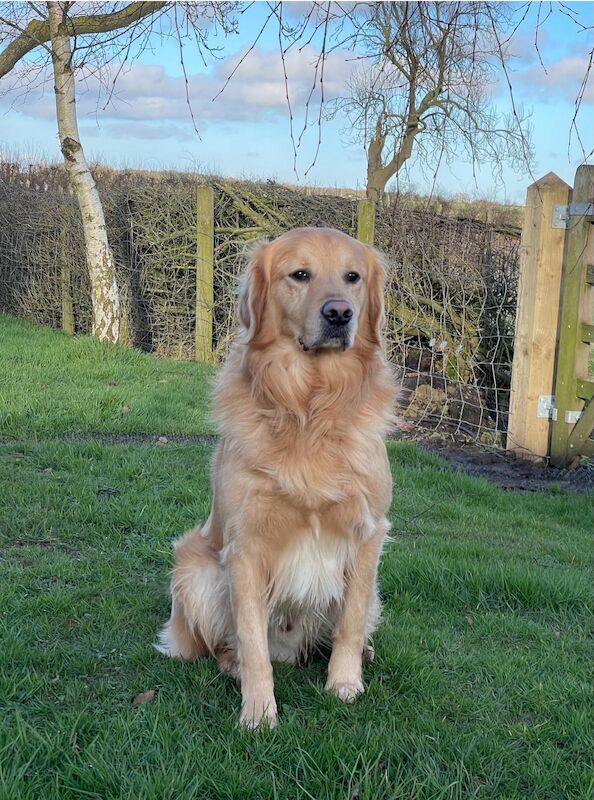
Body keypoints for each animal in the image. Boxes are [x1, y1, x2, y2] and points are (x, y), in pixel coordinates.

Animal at [155, 227, 396, 732]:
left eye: (353, 277)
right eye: (299, 275)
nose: (339, 313)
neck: (310, 408)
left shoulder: (368, 533)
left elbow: (348, 622)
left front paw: (344, 683)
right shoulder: (246, 546)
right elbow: (251, 640)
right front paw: (259, 711)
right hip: (196, 571)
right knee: (224, 645)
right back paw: (232, 666)